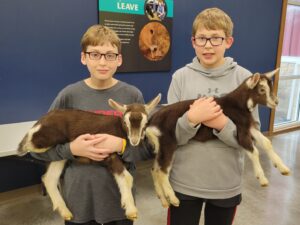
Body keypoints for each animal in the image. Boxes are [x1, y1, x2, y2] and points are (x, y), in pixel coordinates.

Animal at [17, 94, 162, 221]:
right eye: (126, 122)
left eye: (145, 122)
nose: (134, 141)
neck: (120, 130)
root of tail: (40, 121)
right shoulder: (108, 154)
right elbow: (126, 178)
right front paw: (131, 210)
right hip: (50, 137)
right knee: (31, 143)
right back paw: (22, 147)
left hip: (60, 157)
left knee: (49, 178)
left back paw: (65, 212)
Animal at [145, 69, 290, 208]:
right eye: (261, 90)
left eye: (270, 86)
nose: (276, 102)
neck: (239, 104)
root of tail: (151, 122)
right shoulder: (241, 131)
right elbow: (254, 151)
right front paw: (262, 179)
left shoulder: (250, 126)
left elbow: (266, 142)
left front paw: (283, 168)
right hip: (168, 142)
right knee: (162, 170)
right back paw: (173, 198)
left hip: (160, 146)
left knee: (154, 169)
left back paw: (164, 199)